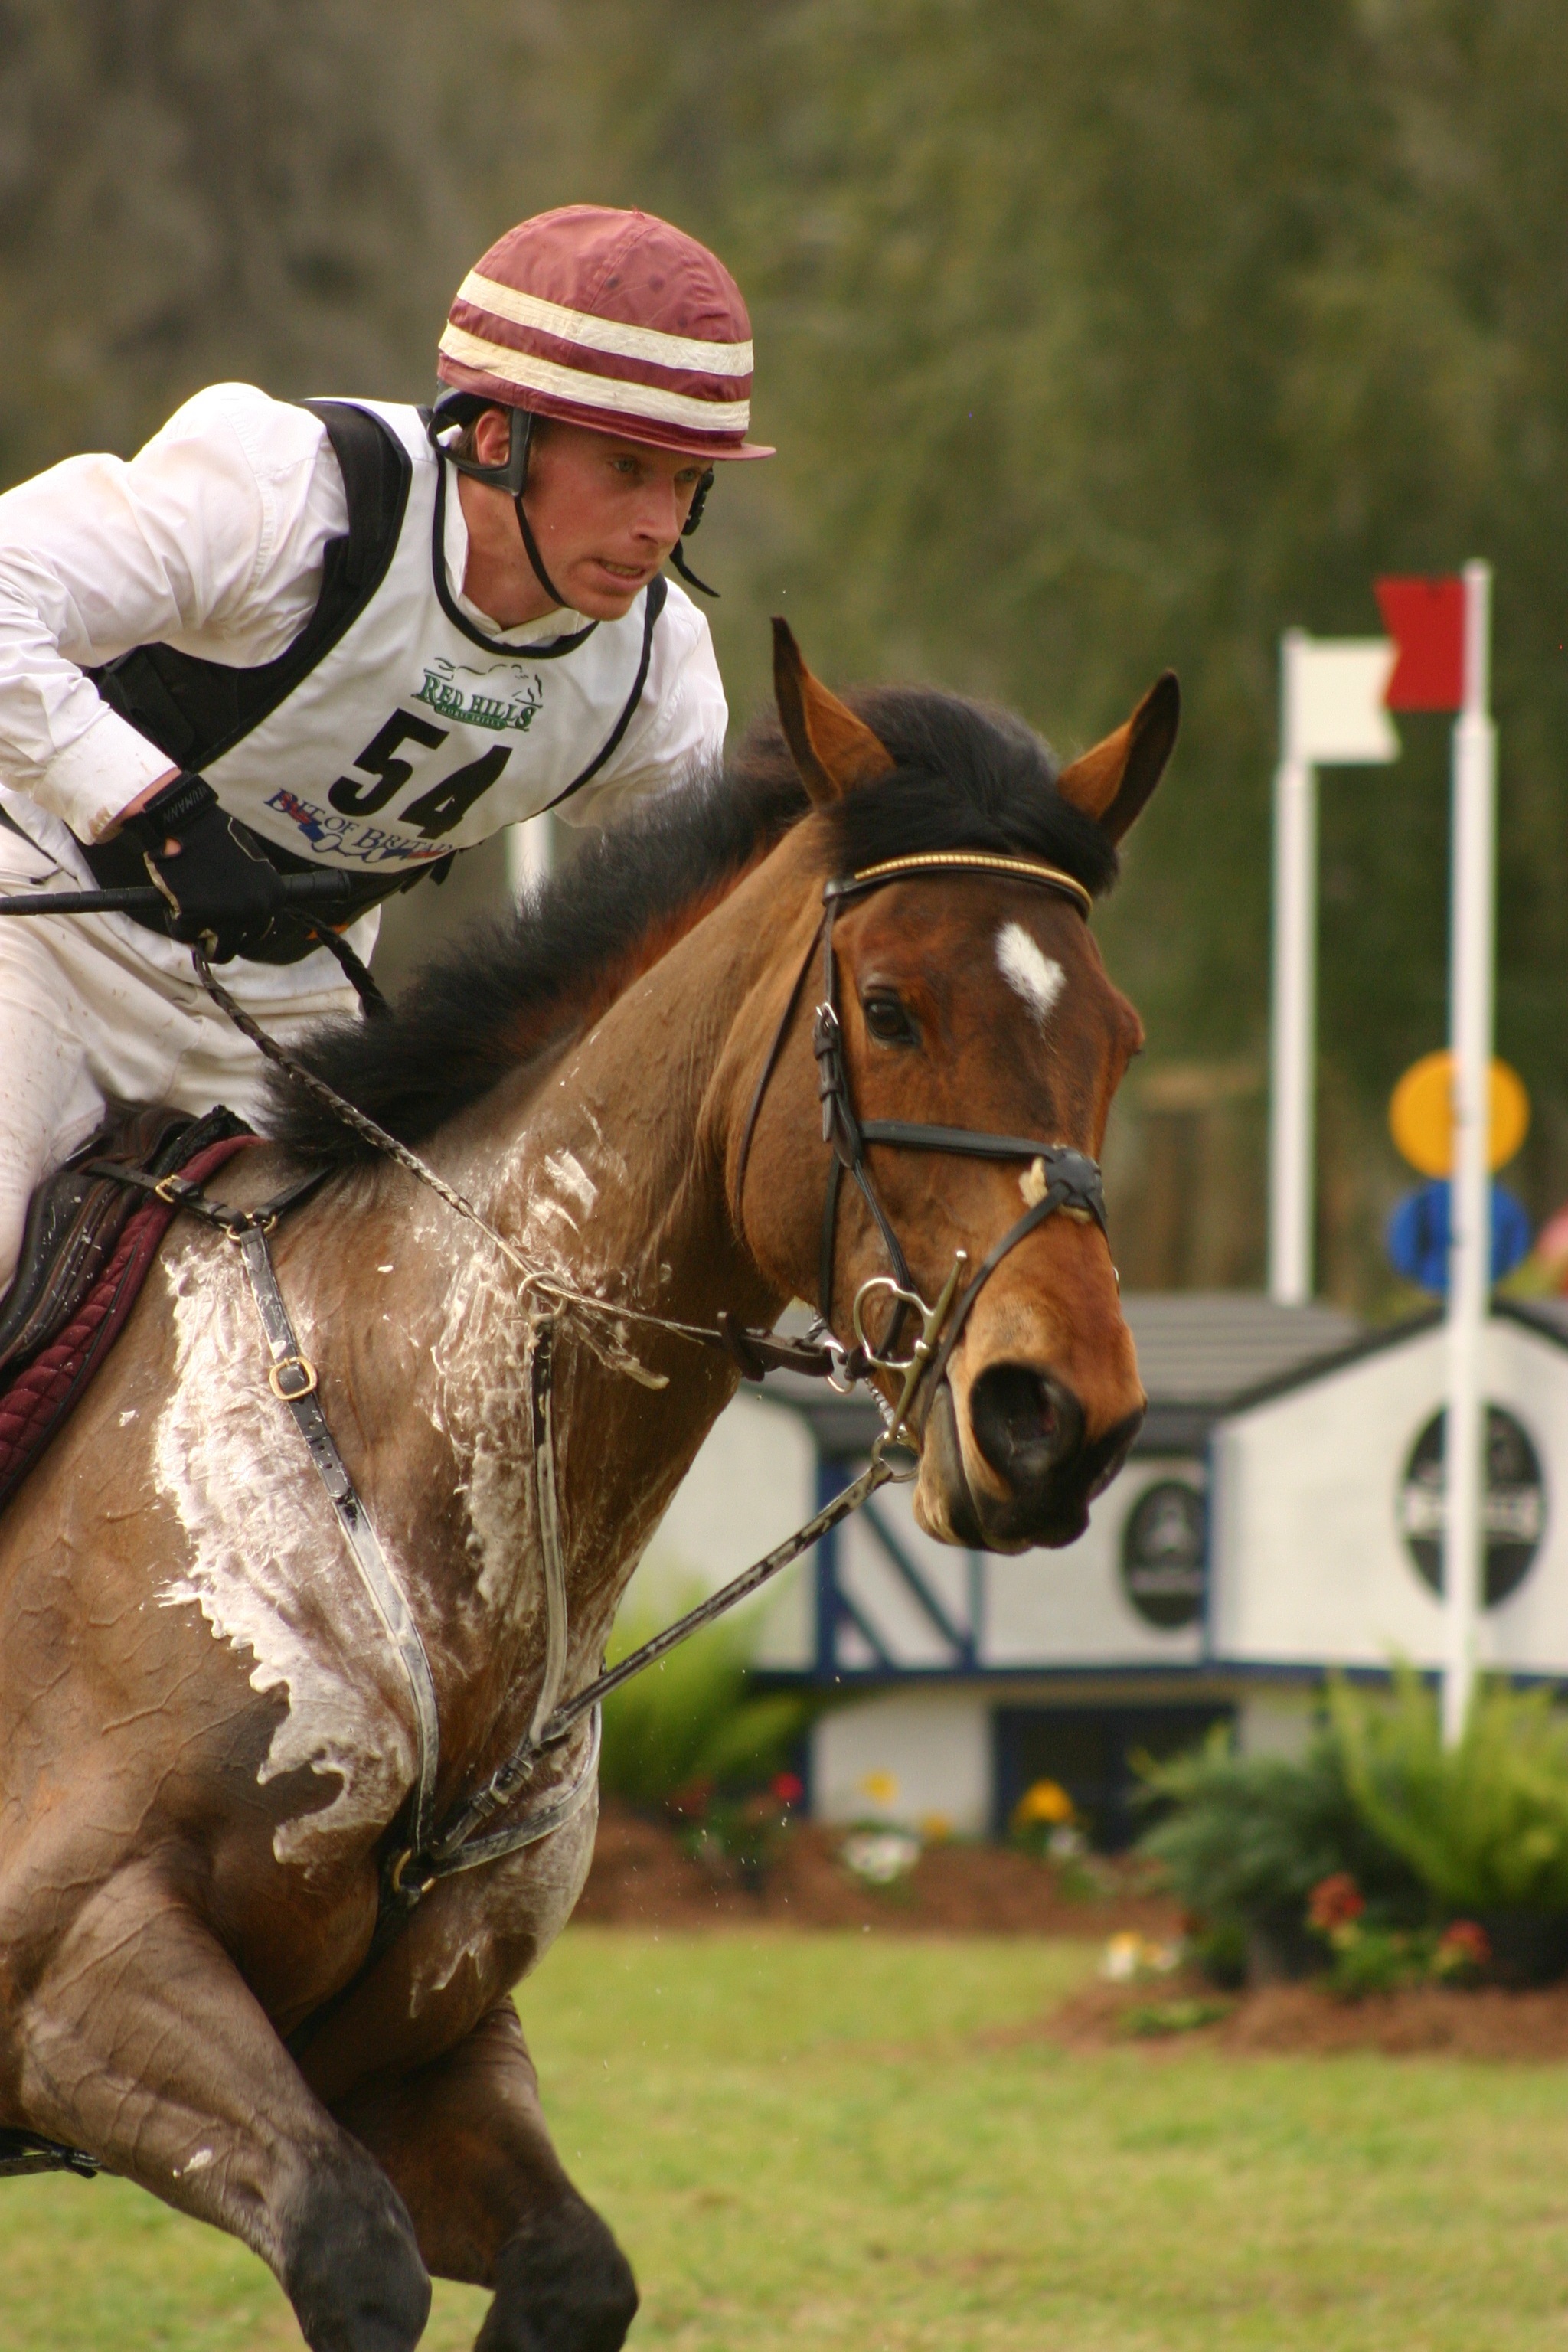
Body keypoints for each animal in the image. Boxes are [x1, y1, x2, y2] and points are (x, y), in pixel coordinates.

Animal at [0, 627, 1176, 2352]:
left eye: (1118, 1035)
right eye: (889, 1007)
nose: (1055, 1420)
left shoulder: (418, 2052)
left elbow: (570, 2268)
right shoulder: (74, 1976)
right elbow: (352, 2249)